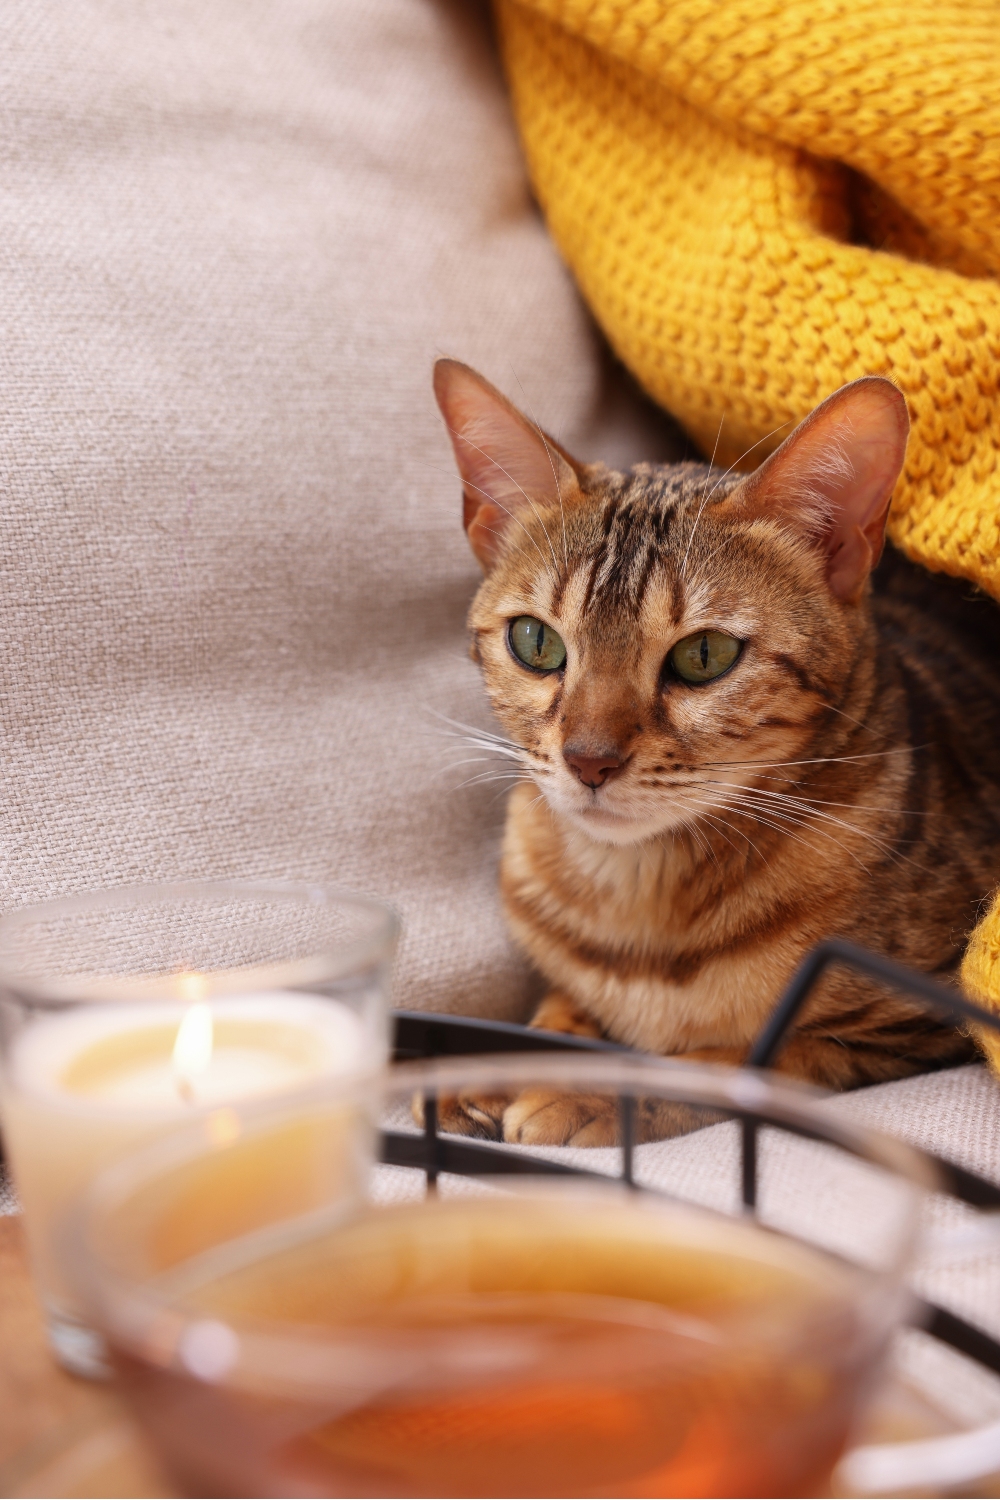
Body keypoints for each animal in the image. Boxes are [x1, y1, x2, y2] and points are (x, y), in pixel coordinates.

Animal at [434, 360, 1000, 1146]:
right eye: (535, 642)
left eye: (704, 656)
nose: (589, 759)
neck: (637, 908)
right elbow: (561, 1004)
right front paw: (501, 1064)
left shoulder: (912, 1025)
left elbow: (725, 1063)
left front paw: (583, 1094)